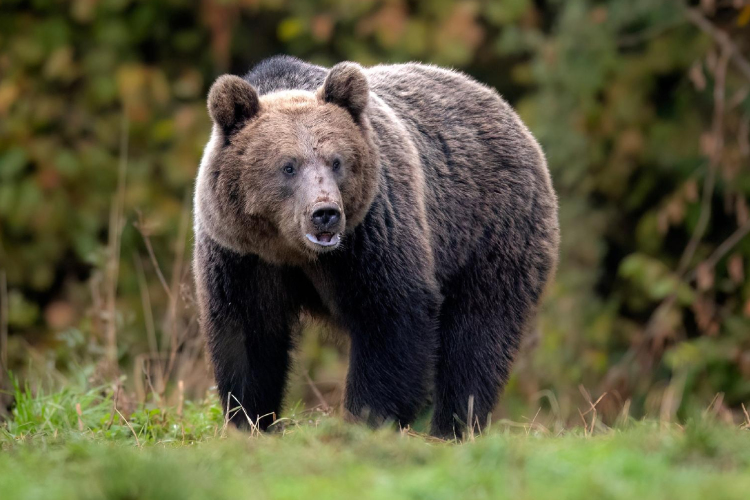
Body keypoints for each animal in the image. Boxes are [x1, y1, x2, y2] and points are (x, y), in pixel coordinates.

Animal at [194, 54, 560, 438]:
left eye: (336, 161)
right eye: (288, 166)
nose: (325, 213)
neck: (294, 251)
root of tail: (505, 109)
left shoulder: (371, 234)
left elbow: (392, 317)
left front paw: (366, 418)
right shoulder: (242, 255)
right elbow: (247, 334)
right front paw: (251, 420)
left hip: (489, 230)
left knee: (477, 333)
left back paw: (453, 426)